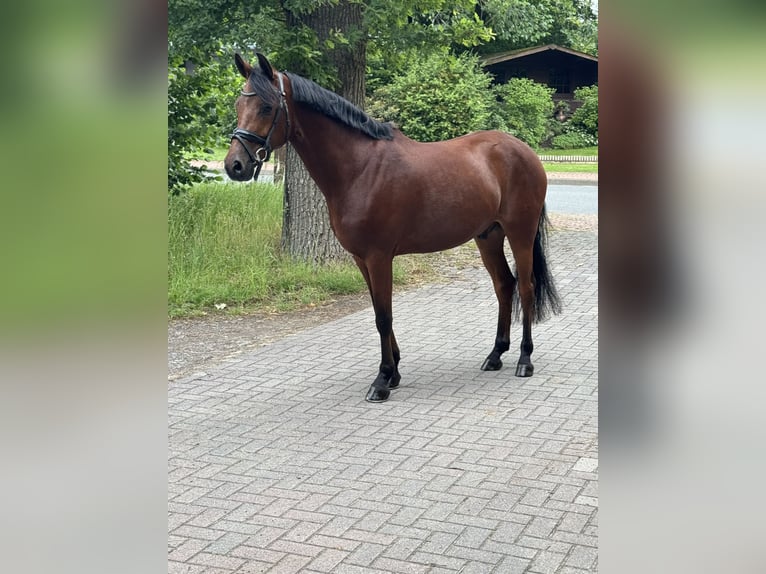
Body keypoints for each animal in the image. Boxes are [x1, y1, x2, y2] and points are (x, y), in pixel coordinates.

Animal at [224, 53, 562, 403]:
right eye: (238, 104)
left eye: (266, 107)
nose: (235, 165)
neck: (360, 169)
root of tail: (525, 151)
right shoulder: (361, 258)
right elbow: (377, 311)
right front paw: (394, 372)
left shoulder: (379, 256)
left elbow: (384, 316)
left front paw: (382, 379)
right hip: (488, 236)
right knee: (504, 285)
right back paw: (495, 355)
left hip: (520, 233)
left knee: (526, 287)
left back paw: (524, 359)